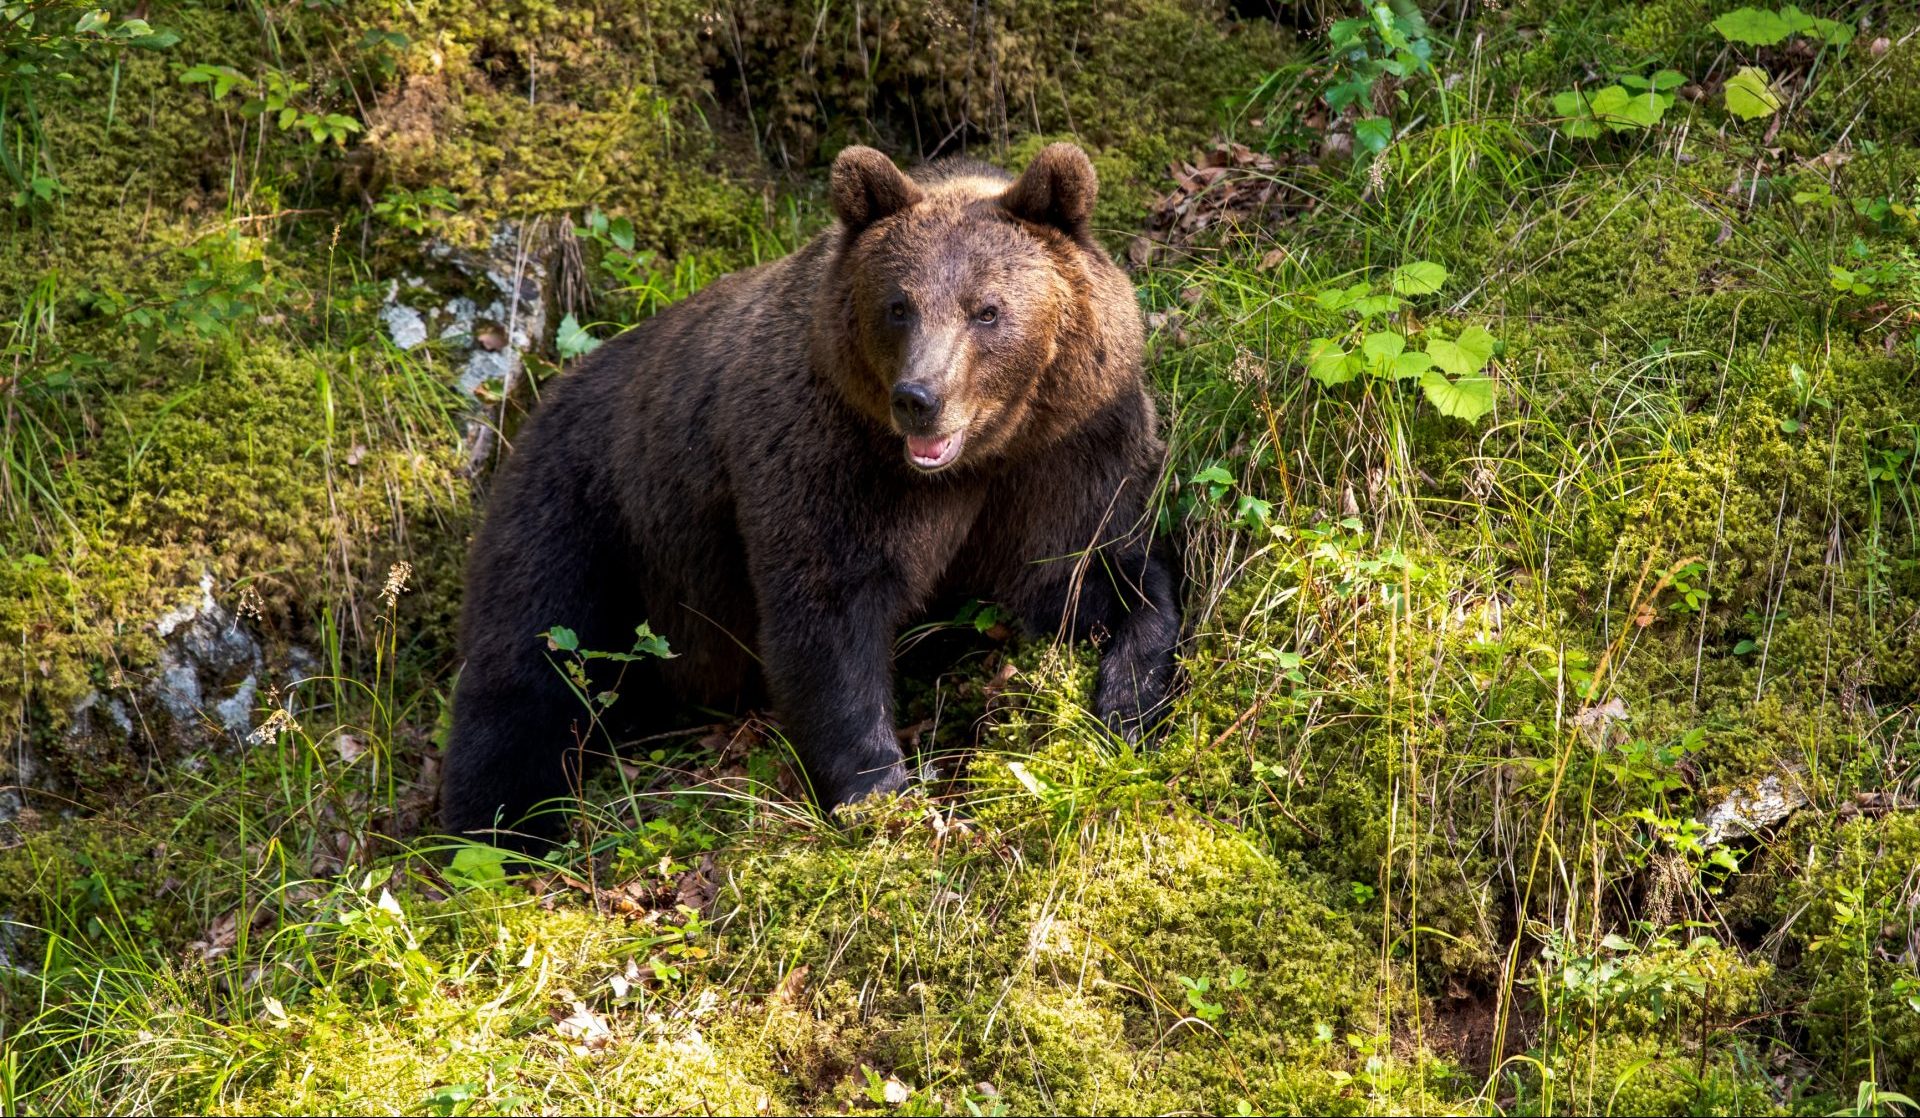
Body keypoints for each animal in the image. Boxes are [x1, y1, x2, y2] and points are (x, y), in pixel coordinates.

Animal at [441, 142, 1175, 849]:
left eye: (987, 309)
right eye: (898, 305)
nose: (918, 398)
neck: (976, 459)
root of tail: (546, 397)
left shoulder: (1065, 454)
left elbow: (1086, 576)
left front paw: (1128, 703)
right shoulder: (830, 457)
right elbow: (828, 614)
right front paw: (880, 792)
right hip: (585, 508)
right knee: (528, 662)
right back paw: (500, 831)